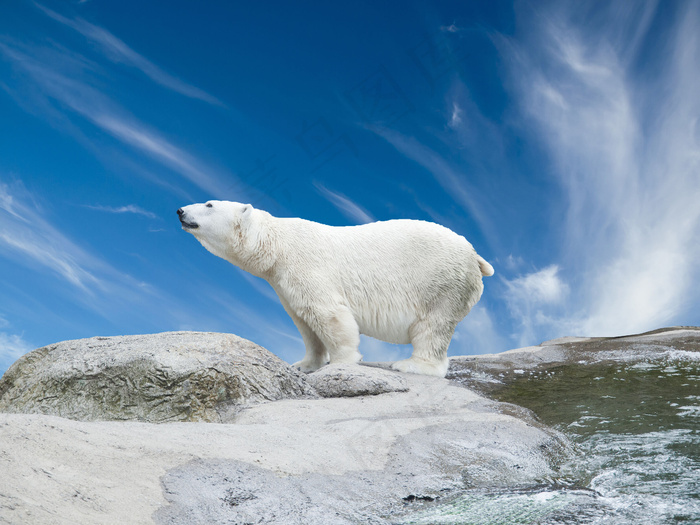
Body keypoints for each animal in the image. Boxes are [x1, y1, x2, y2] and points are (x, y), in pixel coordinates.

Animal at [176, 201, 492, 376]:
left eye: (209, 205)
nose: (179, 210)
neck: (277, 245)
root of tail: (475, 255)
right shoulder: (283, 283)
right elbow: (304, 322)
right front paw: (304, 364)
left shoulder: (307, 267)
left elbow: (328, 314)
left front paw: (343, 362)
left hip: (440, 283)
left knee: (432, 326)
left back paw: (413, 365)